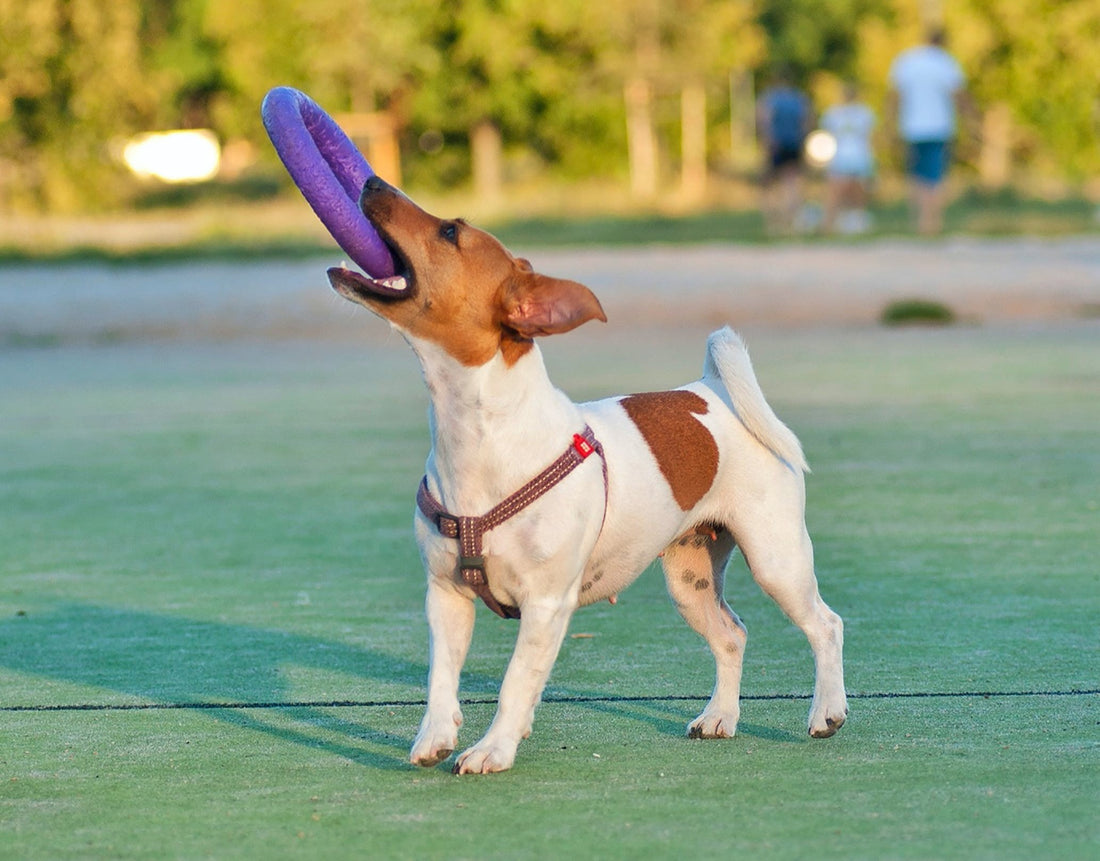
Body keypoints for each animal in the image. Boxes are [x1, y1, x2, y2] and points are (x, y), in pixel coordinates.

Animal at [327, 174, 849, 774]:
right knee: (731, 635)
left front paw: (493, 748)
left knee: (825, 625)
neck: (477, 436)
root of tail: (711, 390)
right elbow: (442, 678)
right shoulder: (446, 595)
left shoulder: (545, 605)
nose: (371, 180)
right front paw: (436, 736)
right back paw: (720, 716)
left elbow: (514, 682)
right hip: (689, 579)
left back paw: (827, 712)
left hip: (777, 560)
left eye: (450, 231)